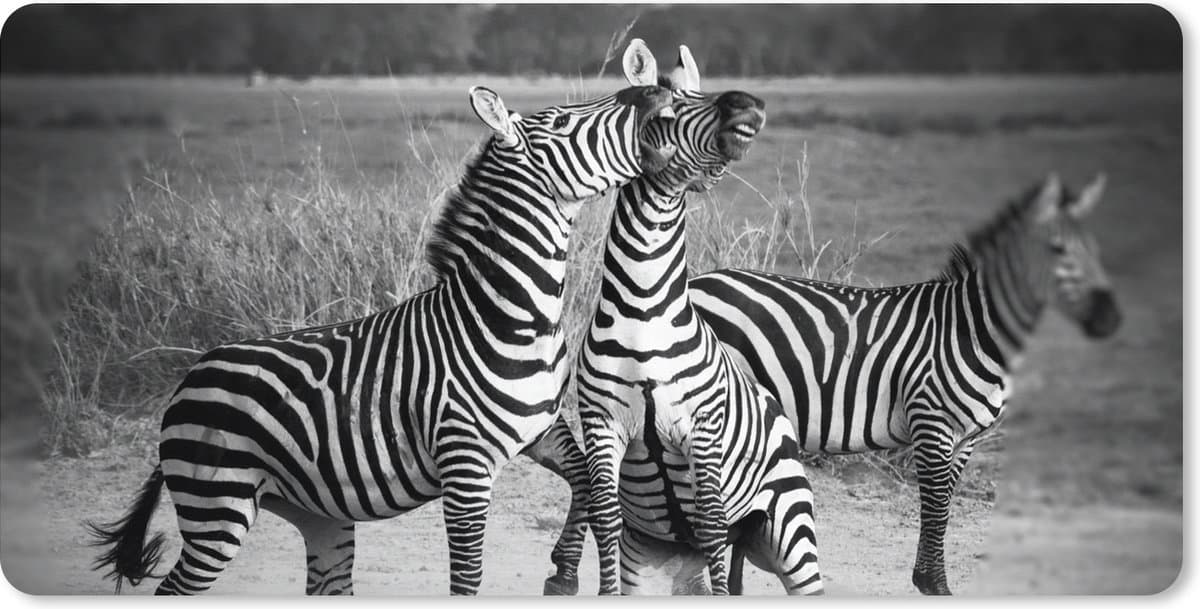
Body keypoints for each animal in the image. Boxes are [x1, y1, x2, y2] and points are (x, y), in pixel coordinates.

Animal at [85, 72, 679, 596]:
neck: (508, 316)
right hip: (218, 506)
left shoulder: (540, 429)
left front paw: (562, 571)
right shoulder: (464, 461)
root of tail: (190, 378)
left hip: (313, 513)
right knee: (177, 586)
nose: (654, 90)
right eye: (558, 120)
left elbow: (586, 485)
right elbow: (467, 576)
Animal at [576, 40, 823, 596]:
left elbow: (711, 524)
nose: (747, 104)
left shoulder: (702, 430)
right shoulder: (602, 427)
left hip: (790, 529)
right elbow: (605, 520)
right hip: (656, 557)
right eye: (667, 112)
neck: (643, 312)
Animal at [688, 172, 1121, 595]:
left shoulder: (967, 438)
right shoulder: (931, 422)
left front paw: (927, 580)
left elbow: (944, 505)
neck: (972, 331)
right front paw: (935, 586)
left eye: (1097, 251)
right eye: (1058, 249)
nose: (1110, 320)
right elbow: (936, 509)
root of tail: (697, 281)